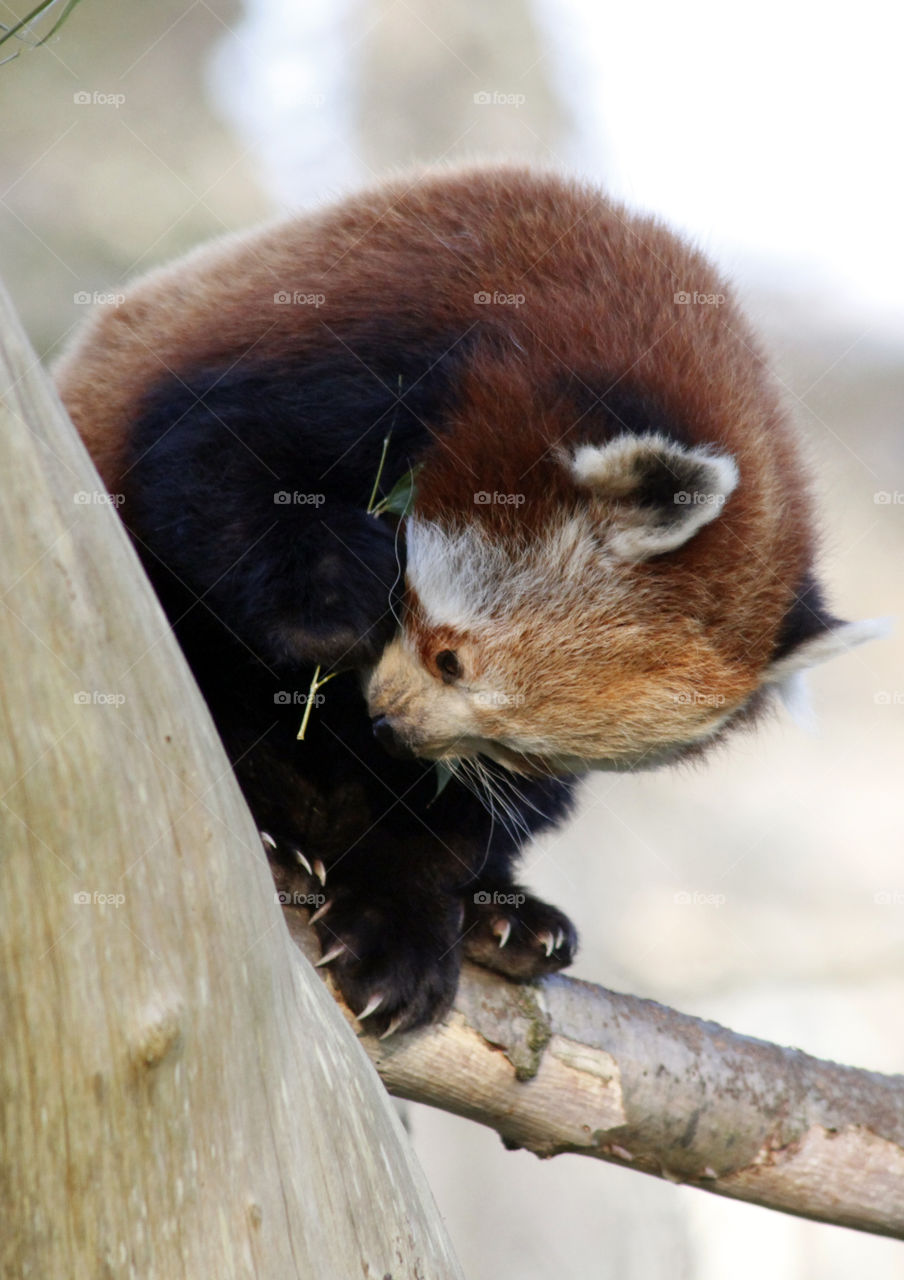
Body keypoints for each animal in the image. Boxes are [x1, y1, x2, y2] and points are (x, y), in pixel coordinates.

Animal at [55, 163, 879, 1036]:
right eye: (449, 658)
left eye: (518, 750)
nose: (393, 728)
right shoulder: (368, 345)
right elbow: (209, 470)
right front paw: (344, 607)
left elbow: (463, 817)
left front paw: (400, 918)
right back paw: (275, 828)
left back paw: (506, 918)